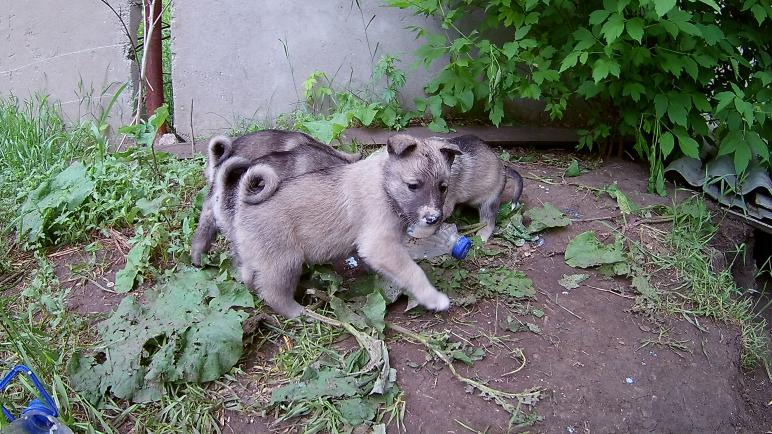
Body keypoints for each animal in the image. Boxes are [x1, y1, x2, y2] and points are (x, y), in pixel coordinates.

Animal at [232, 134, 461, 318]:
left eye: (443, 188)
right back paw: (299, 313)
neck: (384, 185)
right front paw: (434, 298)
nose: (433, 218)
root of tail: (244, 204)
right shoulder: (380, 246)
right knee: (274, 294)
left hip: (258, 256)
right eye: (413, 186)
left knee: (249, 275)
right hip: (283, 262)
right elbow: (413, 272)